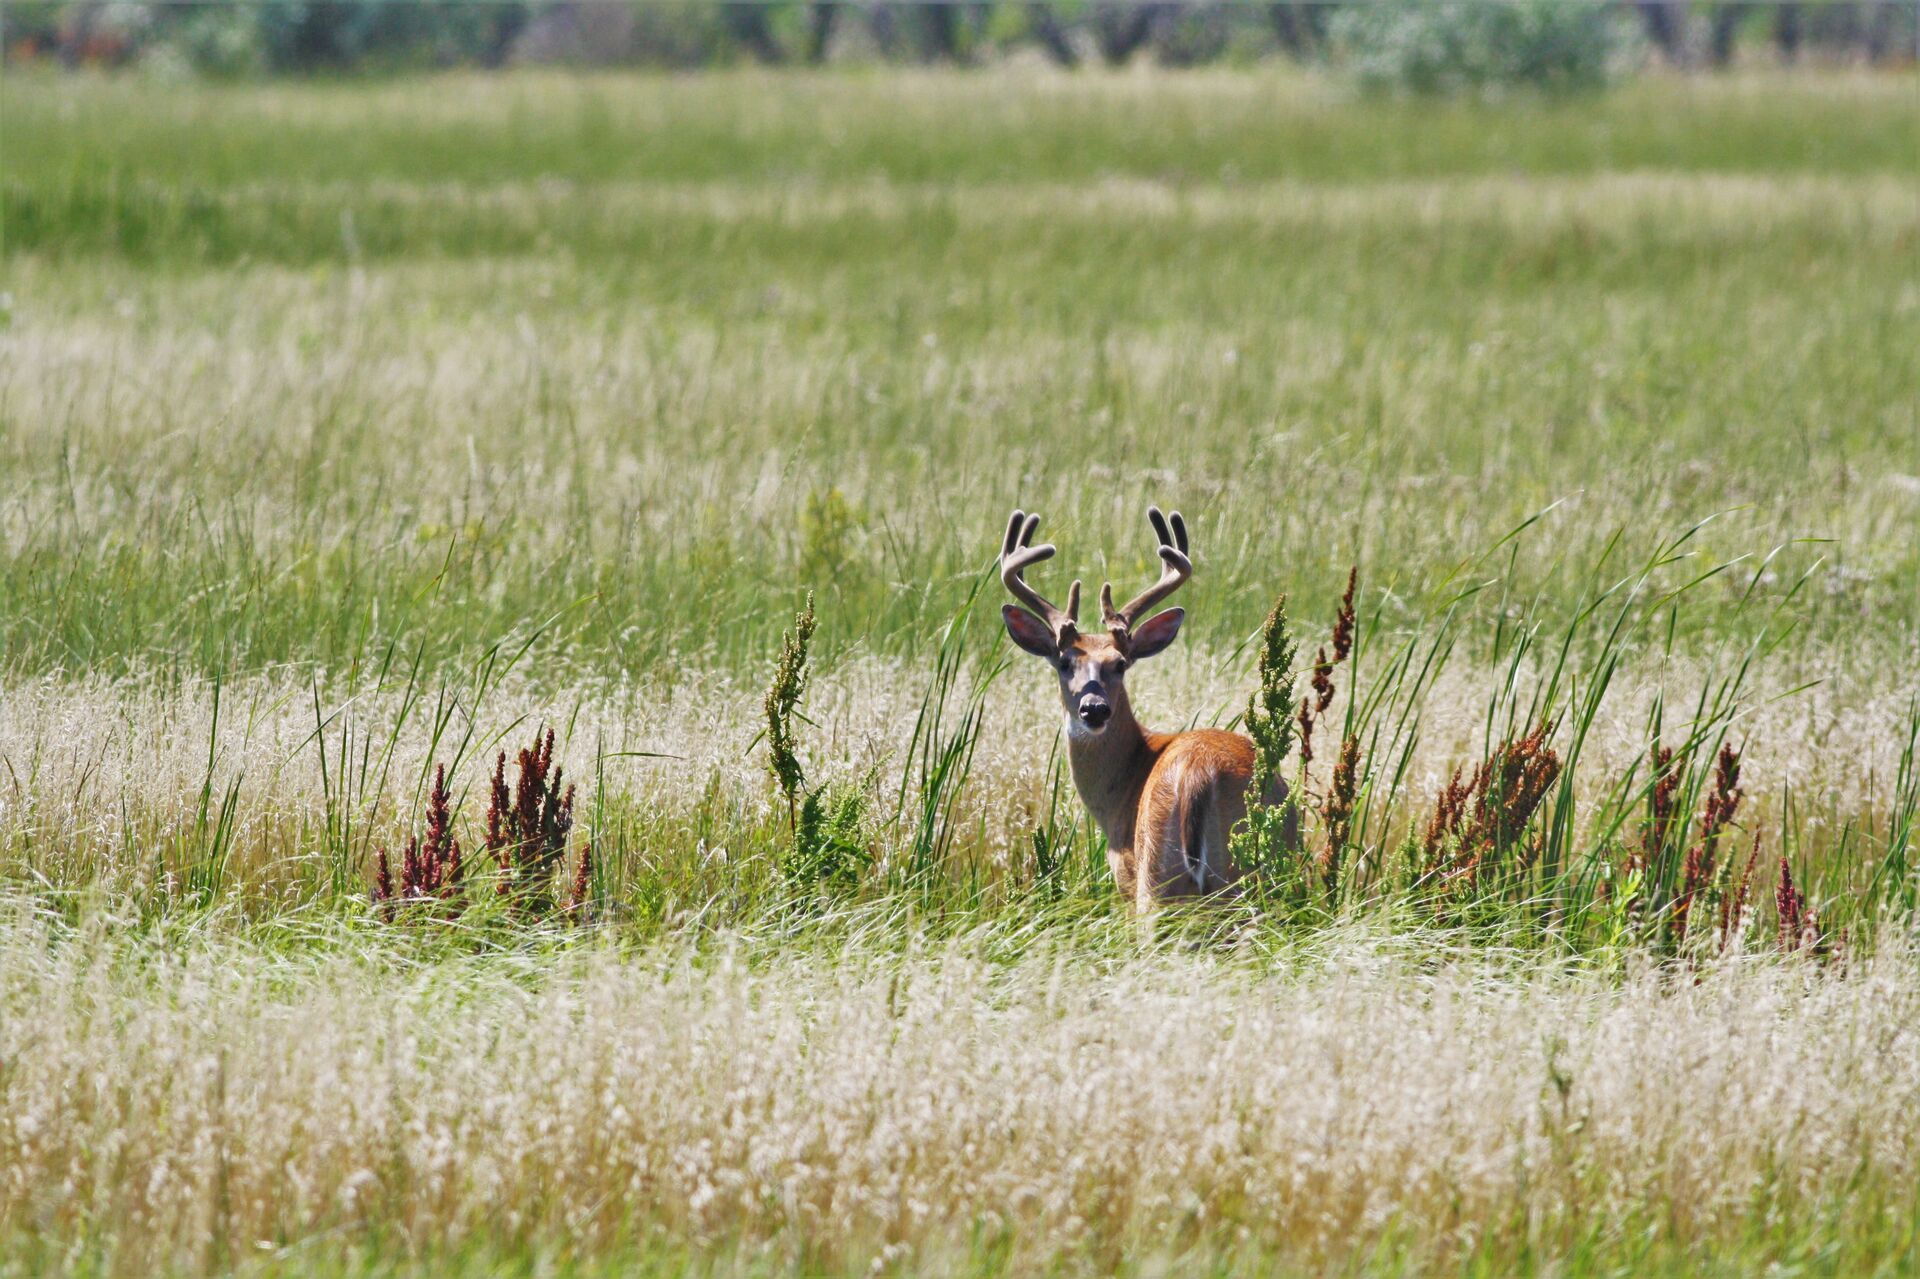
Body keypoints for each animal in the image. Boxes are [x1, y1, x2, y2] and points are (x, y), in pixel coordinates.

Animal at [998, 503, 1297, 902]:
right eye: (1064, 663)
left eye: (1120, 664)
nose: (1094, 708)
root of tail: (1199, 773)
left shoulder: (1124, 874)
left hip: (1155, 874)